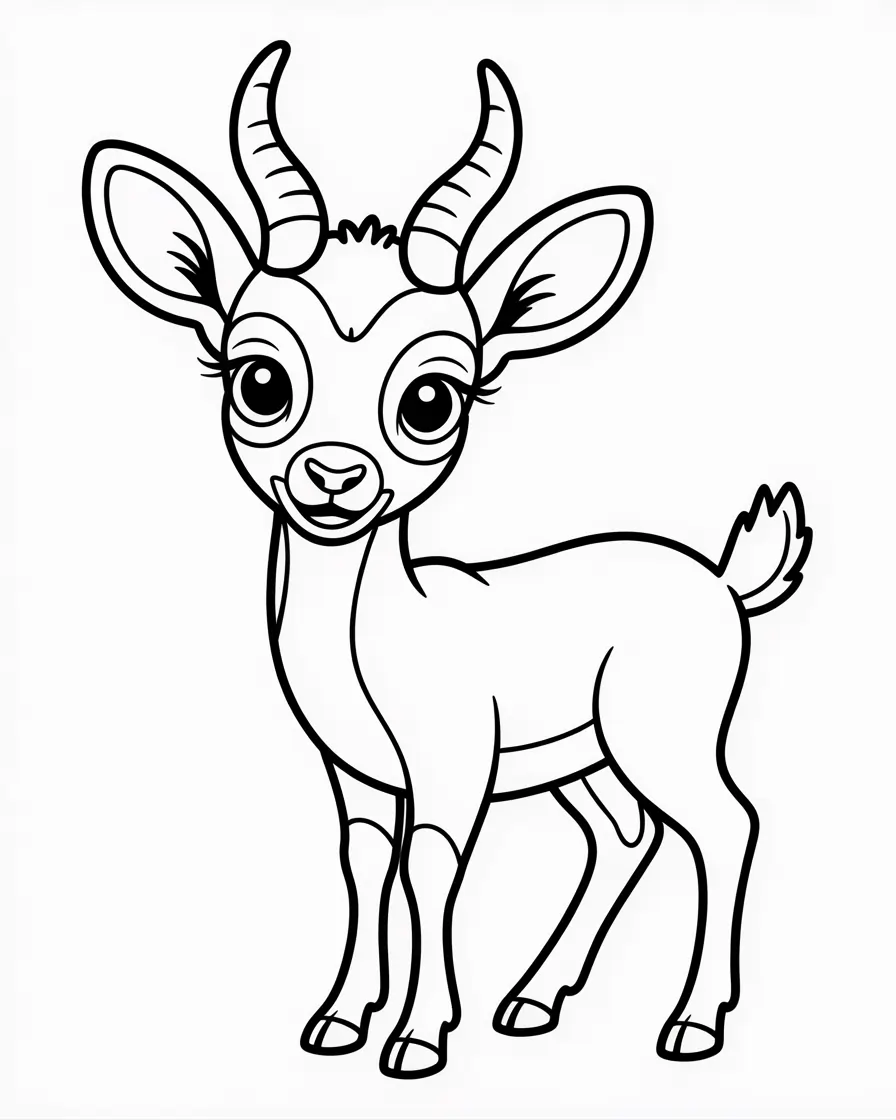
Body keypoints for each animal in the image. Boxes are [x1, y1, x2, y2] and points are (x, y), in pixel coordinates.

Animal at [83, 41, 812, 1079]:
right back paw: (534, 1000)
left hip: (663, 734)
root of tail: (722, 580)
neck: (375, 642)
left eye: (433, 397)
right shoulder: (357, 775)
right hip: (581, 759)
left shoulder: (452, 766)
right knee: (623, 836)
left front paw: (419, 1036)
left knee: (725, 824)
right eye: (260, 378)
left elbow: (429, 870)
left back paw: (692, 1024)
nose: (333, 477)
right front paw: (341, 1019)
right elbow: (363, 867)